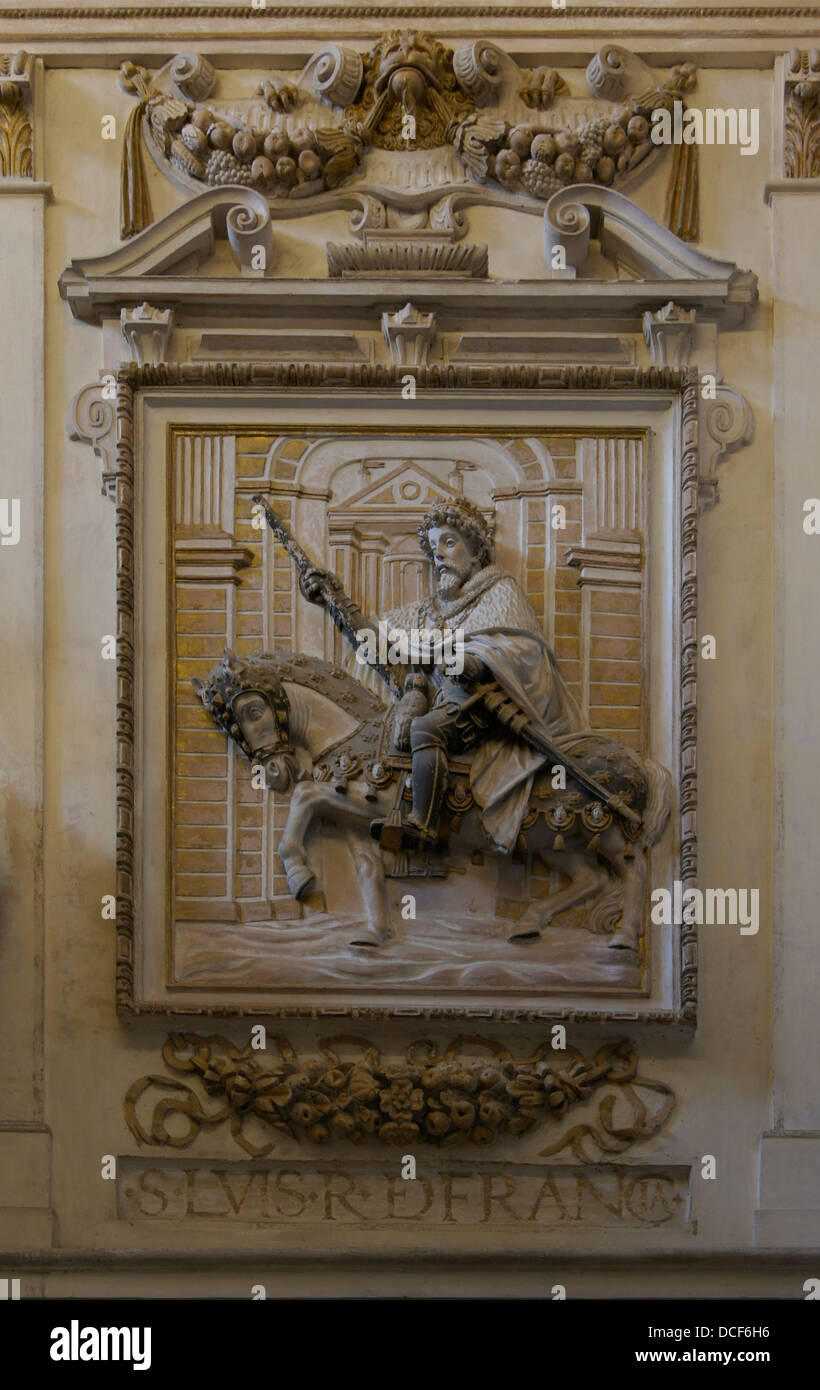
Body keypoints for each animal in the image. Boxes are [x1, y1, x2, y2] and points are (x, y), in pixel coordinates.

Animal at [194, 650, 675, 956]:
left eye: (252, 710)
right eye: (227, 724)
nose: (275, 772)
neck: (355, 734)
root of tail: (638, 762)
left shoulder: (366, 804)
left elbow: (305, 798)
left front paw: (298, 872)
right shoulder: (353, 820)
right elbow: (367, 870)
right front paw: (372, 934)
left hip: (603, 830)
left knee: (634, 869)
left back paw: (624, 938)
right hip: (558, 841)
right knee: (591, 878)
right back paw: (529, 924)